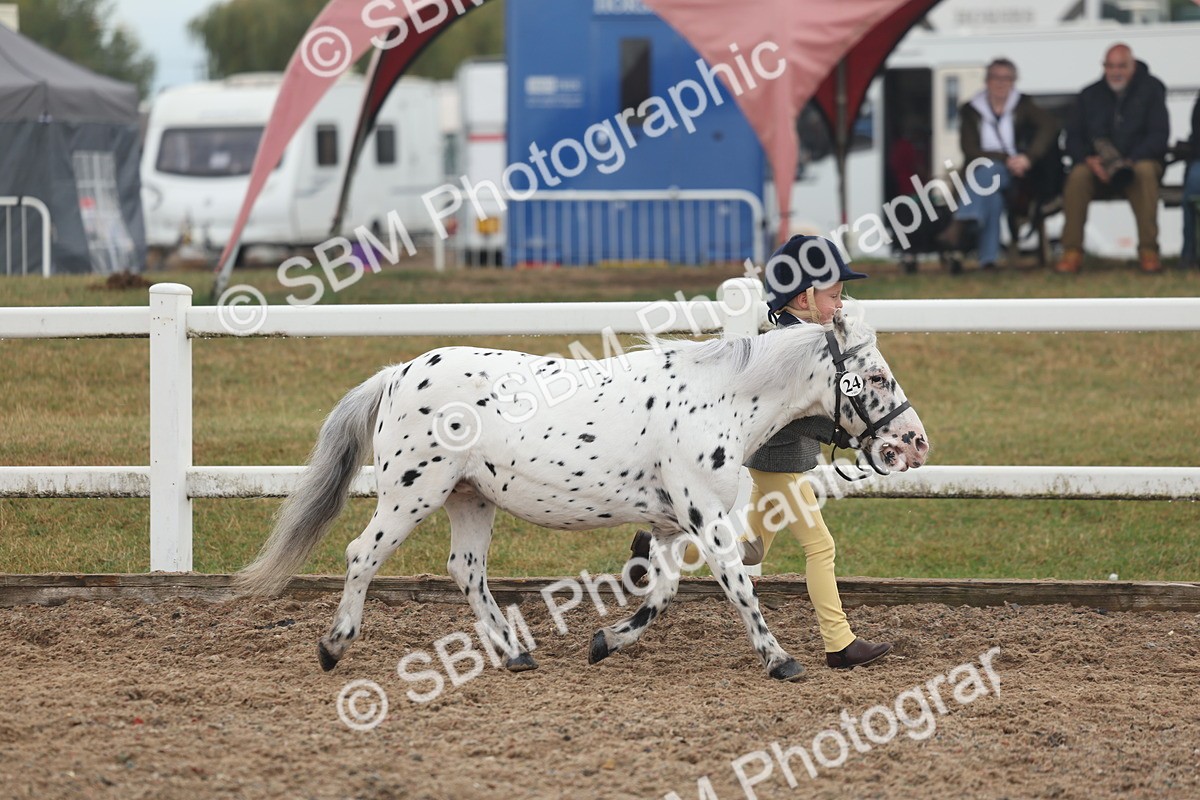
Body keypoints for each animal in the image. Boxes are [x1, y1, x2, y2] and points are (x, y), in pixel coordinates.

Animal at [234, 309, 929, 681]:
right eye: (875, 377)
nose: (914, 443)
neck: (719, 398)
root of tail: (398, 372)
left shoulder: (674, 526)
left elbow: (663, 595)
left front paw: (604, 642)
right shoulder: (706, 518)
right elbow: (738, 586)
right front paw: (781, 660)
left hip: (470, 497)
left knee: (465, 570)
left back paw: (515, 653)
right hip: (414, 492)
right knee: (362, 554)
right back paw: (333, 647)